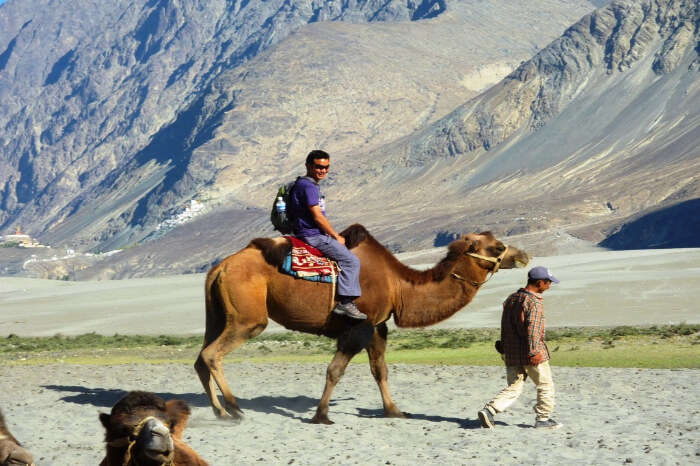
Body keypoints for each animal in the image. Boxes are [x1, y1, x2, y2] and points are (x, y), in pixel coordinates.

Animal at [194, 224, 528, 424]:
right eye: (497, 247)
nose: (523, 255)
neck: (398, 285)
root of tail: (220, 267)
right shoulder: (359, 325)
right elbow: (335, 370)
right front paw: (321, 415)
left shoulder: (378, 325)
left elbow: (380, 370)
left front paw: (394, 411)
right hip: (249, 318)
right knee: (213, 354)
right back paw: (234, 407)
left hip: (218, 313)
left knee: (201, 357)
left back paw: (220, 412)